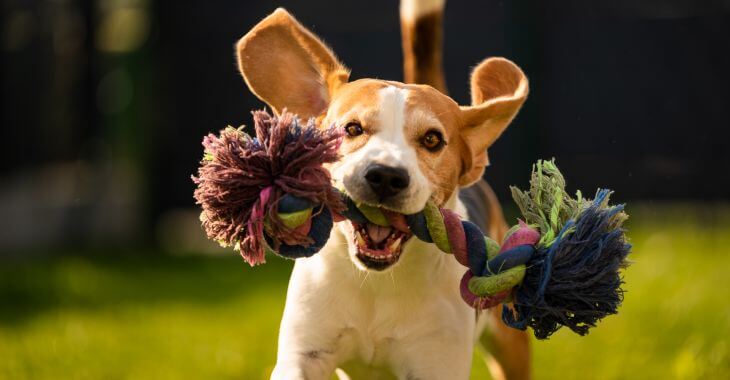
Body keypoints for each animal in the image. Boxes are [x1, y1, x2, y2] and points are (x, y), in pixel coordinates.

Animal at [239, 2, 528, 378]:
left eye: (432, 139)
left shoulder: (436, 363)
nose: (387, 176)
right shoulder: (304, 353)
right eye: (351, 128)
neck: (377, 284)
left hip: (510, 346)